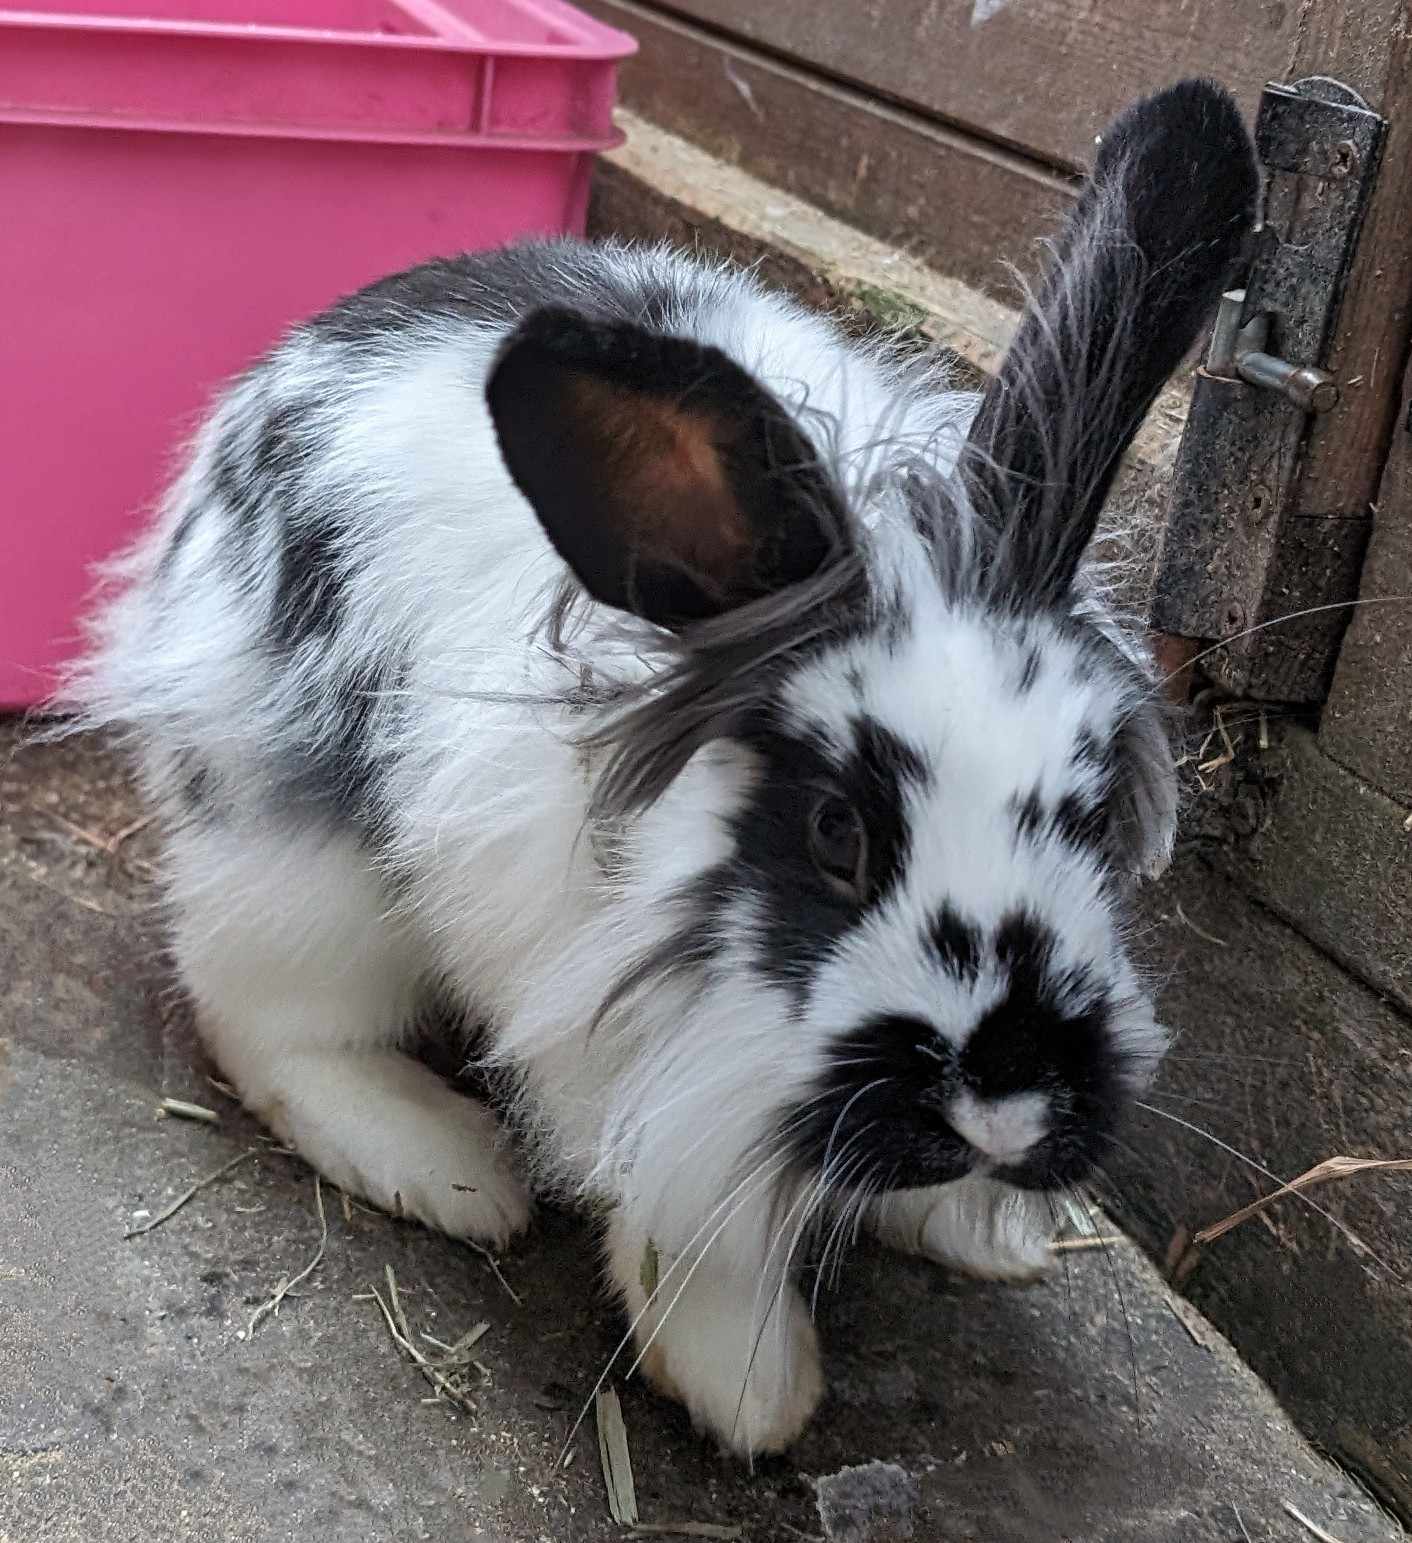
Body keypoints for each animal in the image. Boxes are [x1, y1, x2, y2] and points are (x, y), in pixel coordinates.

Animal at [68, 78, 1257, 1458]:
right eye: (836, 833)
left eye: (1090, 819)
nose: (1002, 1112)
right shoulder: (618, 1024)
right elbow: (687, 1211)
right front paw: (750, 1388)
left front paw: (975, 1229)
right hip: (299, 862)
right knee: (257, 1019)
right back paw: (445, 1164)